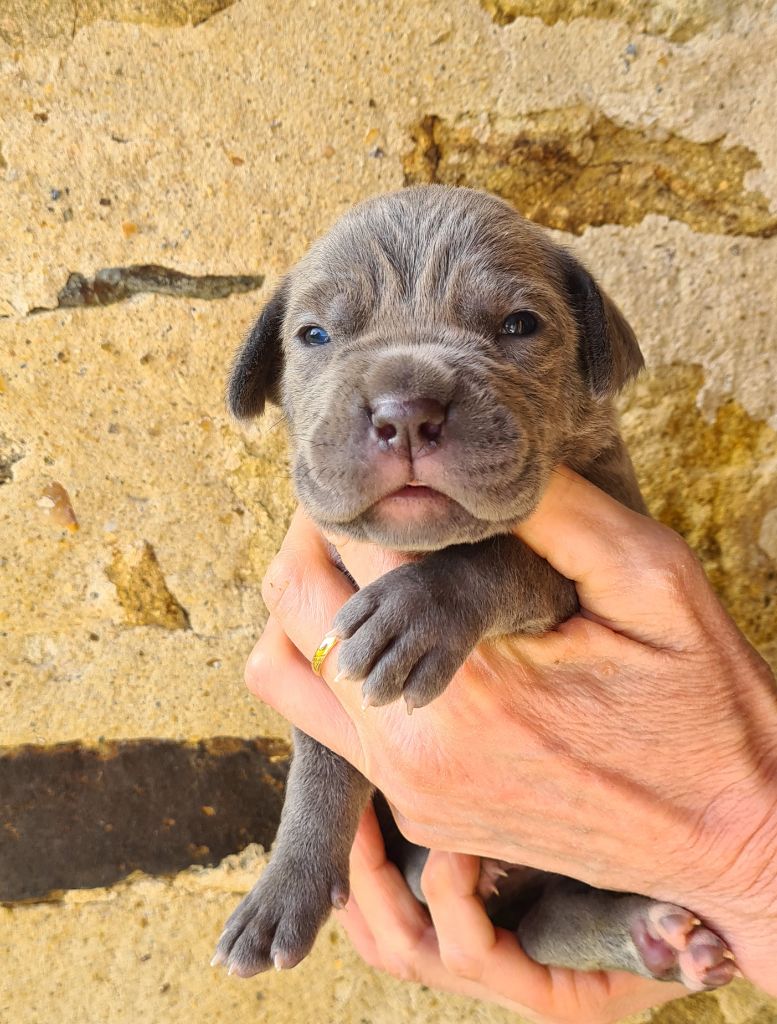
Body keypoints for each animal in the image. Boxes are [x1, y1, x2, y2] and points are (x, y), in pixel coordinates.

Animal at [212, 186, 737, 991]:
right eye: (315, 334)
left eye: (520, 325)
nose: (403, 411)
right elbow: (320, 762)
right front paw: (282, 888)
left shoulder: (601, 531)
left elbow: (499, 554)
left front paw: (414, 614)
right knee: (545, 925)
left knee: (551, 924)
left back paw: (653, 935)